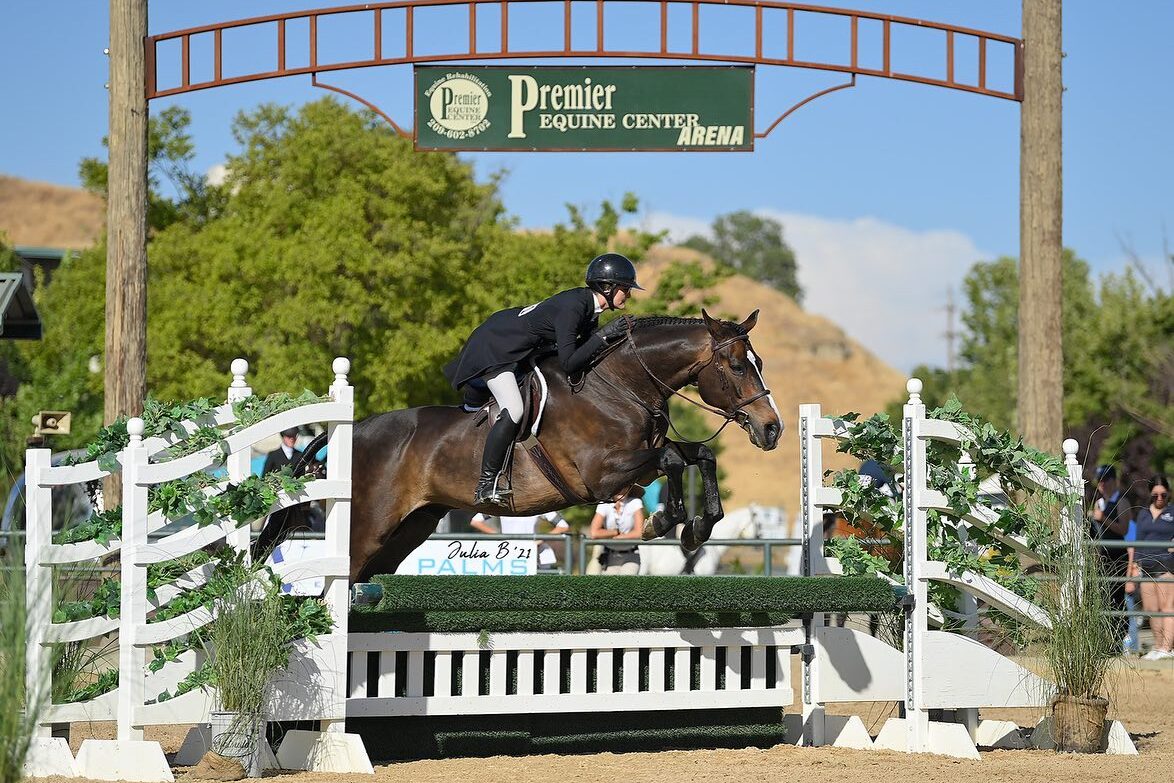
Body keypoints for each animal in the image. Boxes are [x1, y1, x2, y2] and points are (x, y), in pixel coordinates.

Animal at [256, 309, 782, 582]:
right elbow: (673, 457)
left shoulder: (637, 464)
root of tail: (353, 432)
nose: (772, 428)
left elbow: (699, 455)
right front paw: (666, 522)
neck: (620, 385)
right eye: (738, 366)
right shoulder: (600, 475)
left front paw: (697, 528)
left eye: (759, 362)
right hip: (366, 528)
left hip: (409, 529)